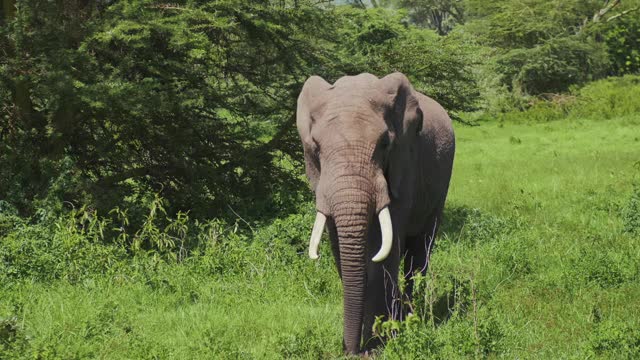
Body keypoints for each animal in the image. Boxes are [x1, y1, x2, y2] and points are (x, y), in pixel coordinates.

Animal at [296, 71, 456, 352]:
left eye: (384, 144)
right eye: (315, 147)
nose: (349, 351)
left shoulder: (405, 164)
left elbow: (386, 248)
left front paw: (380, 342)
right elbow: (340, 249)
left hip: (441, 184)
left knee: (420, 251)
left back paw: (411, 315)